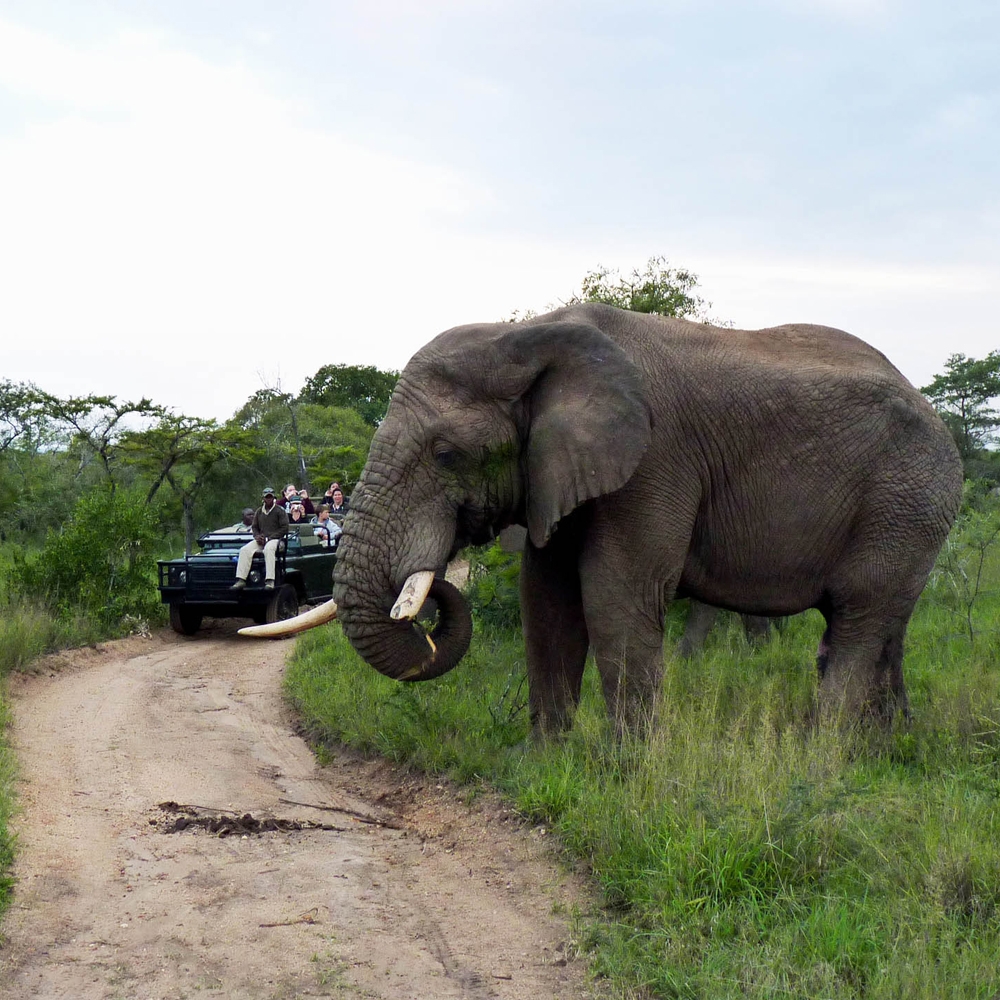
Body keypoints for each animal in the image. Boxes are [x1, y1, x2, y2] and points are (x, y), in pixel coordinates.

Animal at [245, 303, 963, 737]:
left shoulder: (654, 458)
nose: (435, 584)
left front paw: (626, 776)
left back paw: (821, 759)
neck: (528, 331)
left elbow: (616, 594)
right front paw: (549, 763)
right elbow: (547, 599)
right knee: (879, 626)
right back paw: (884, 750)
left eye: (446, 455)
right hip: (909, 509)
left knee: (859, 619)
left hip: (907, 498)